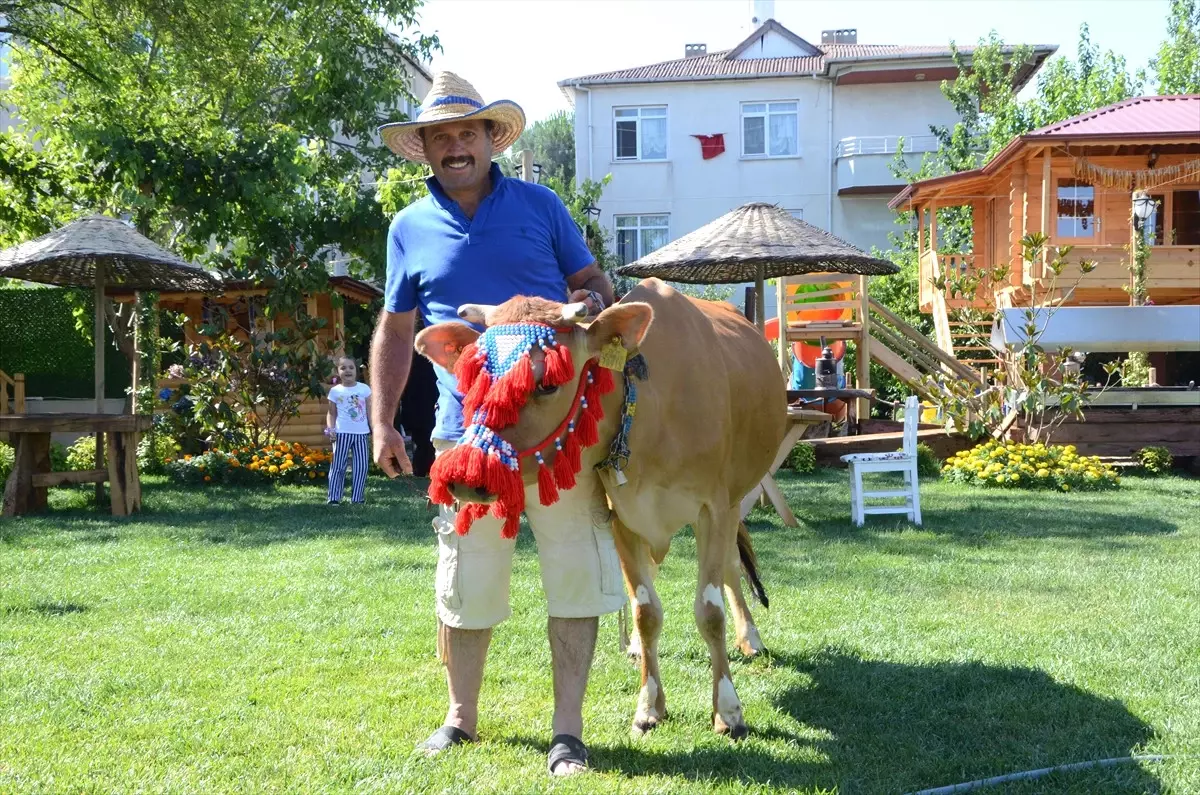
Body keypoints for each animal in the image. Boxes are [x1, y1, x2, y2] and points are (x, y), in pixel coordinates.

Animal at [415, 279, 787, 739]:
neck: (650, 409)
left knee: (733, 568)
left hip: (737, 495)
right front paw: (649, 706)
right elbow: (646, 611)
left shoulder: (713, 507)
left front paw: (729, 710)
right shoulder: (619, 513)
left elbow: (710, 610)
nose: (465, 474)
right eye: (474, 378)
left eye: (547, 383)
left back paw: (750, 637)